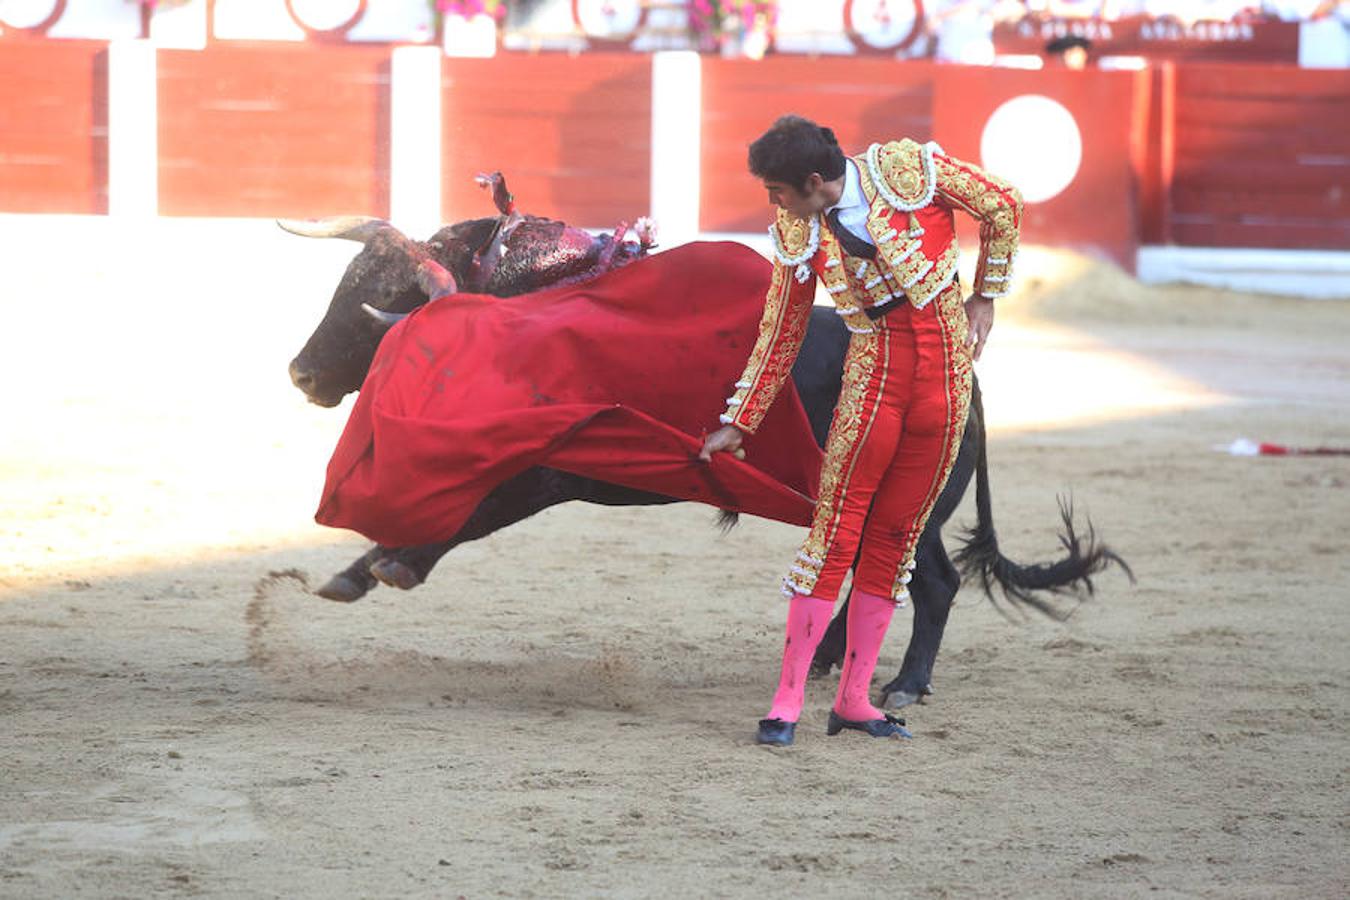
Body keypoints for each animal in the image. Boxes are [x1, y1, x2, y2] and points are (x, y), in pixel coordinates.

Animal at [279, 174, 1123, 712]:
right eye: (346, 282)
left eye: (381, 300)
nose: (301, 373)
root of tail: (964, 377)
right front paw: (363, 567)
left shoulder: (546, 470)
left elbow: (467, 512)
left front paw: (376, 567)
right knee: (871, 573)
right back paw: (827, 661)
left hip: (911, 502)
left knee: (931, 584)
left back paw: (902, 685)